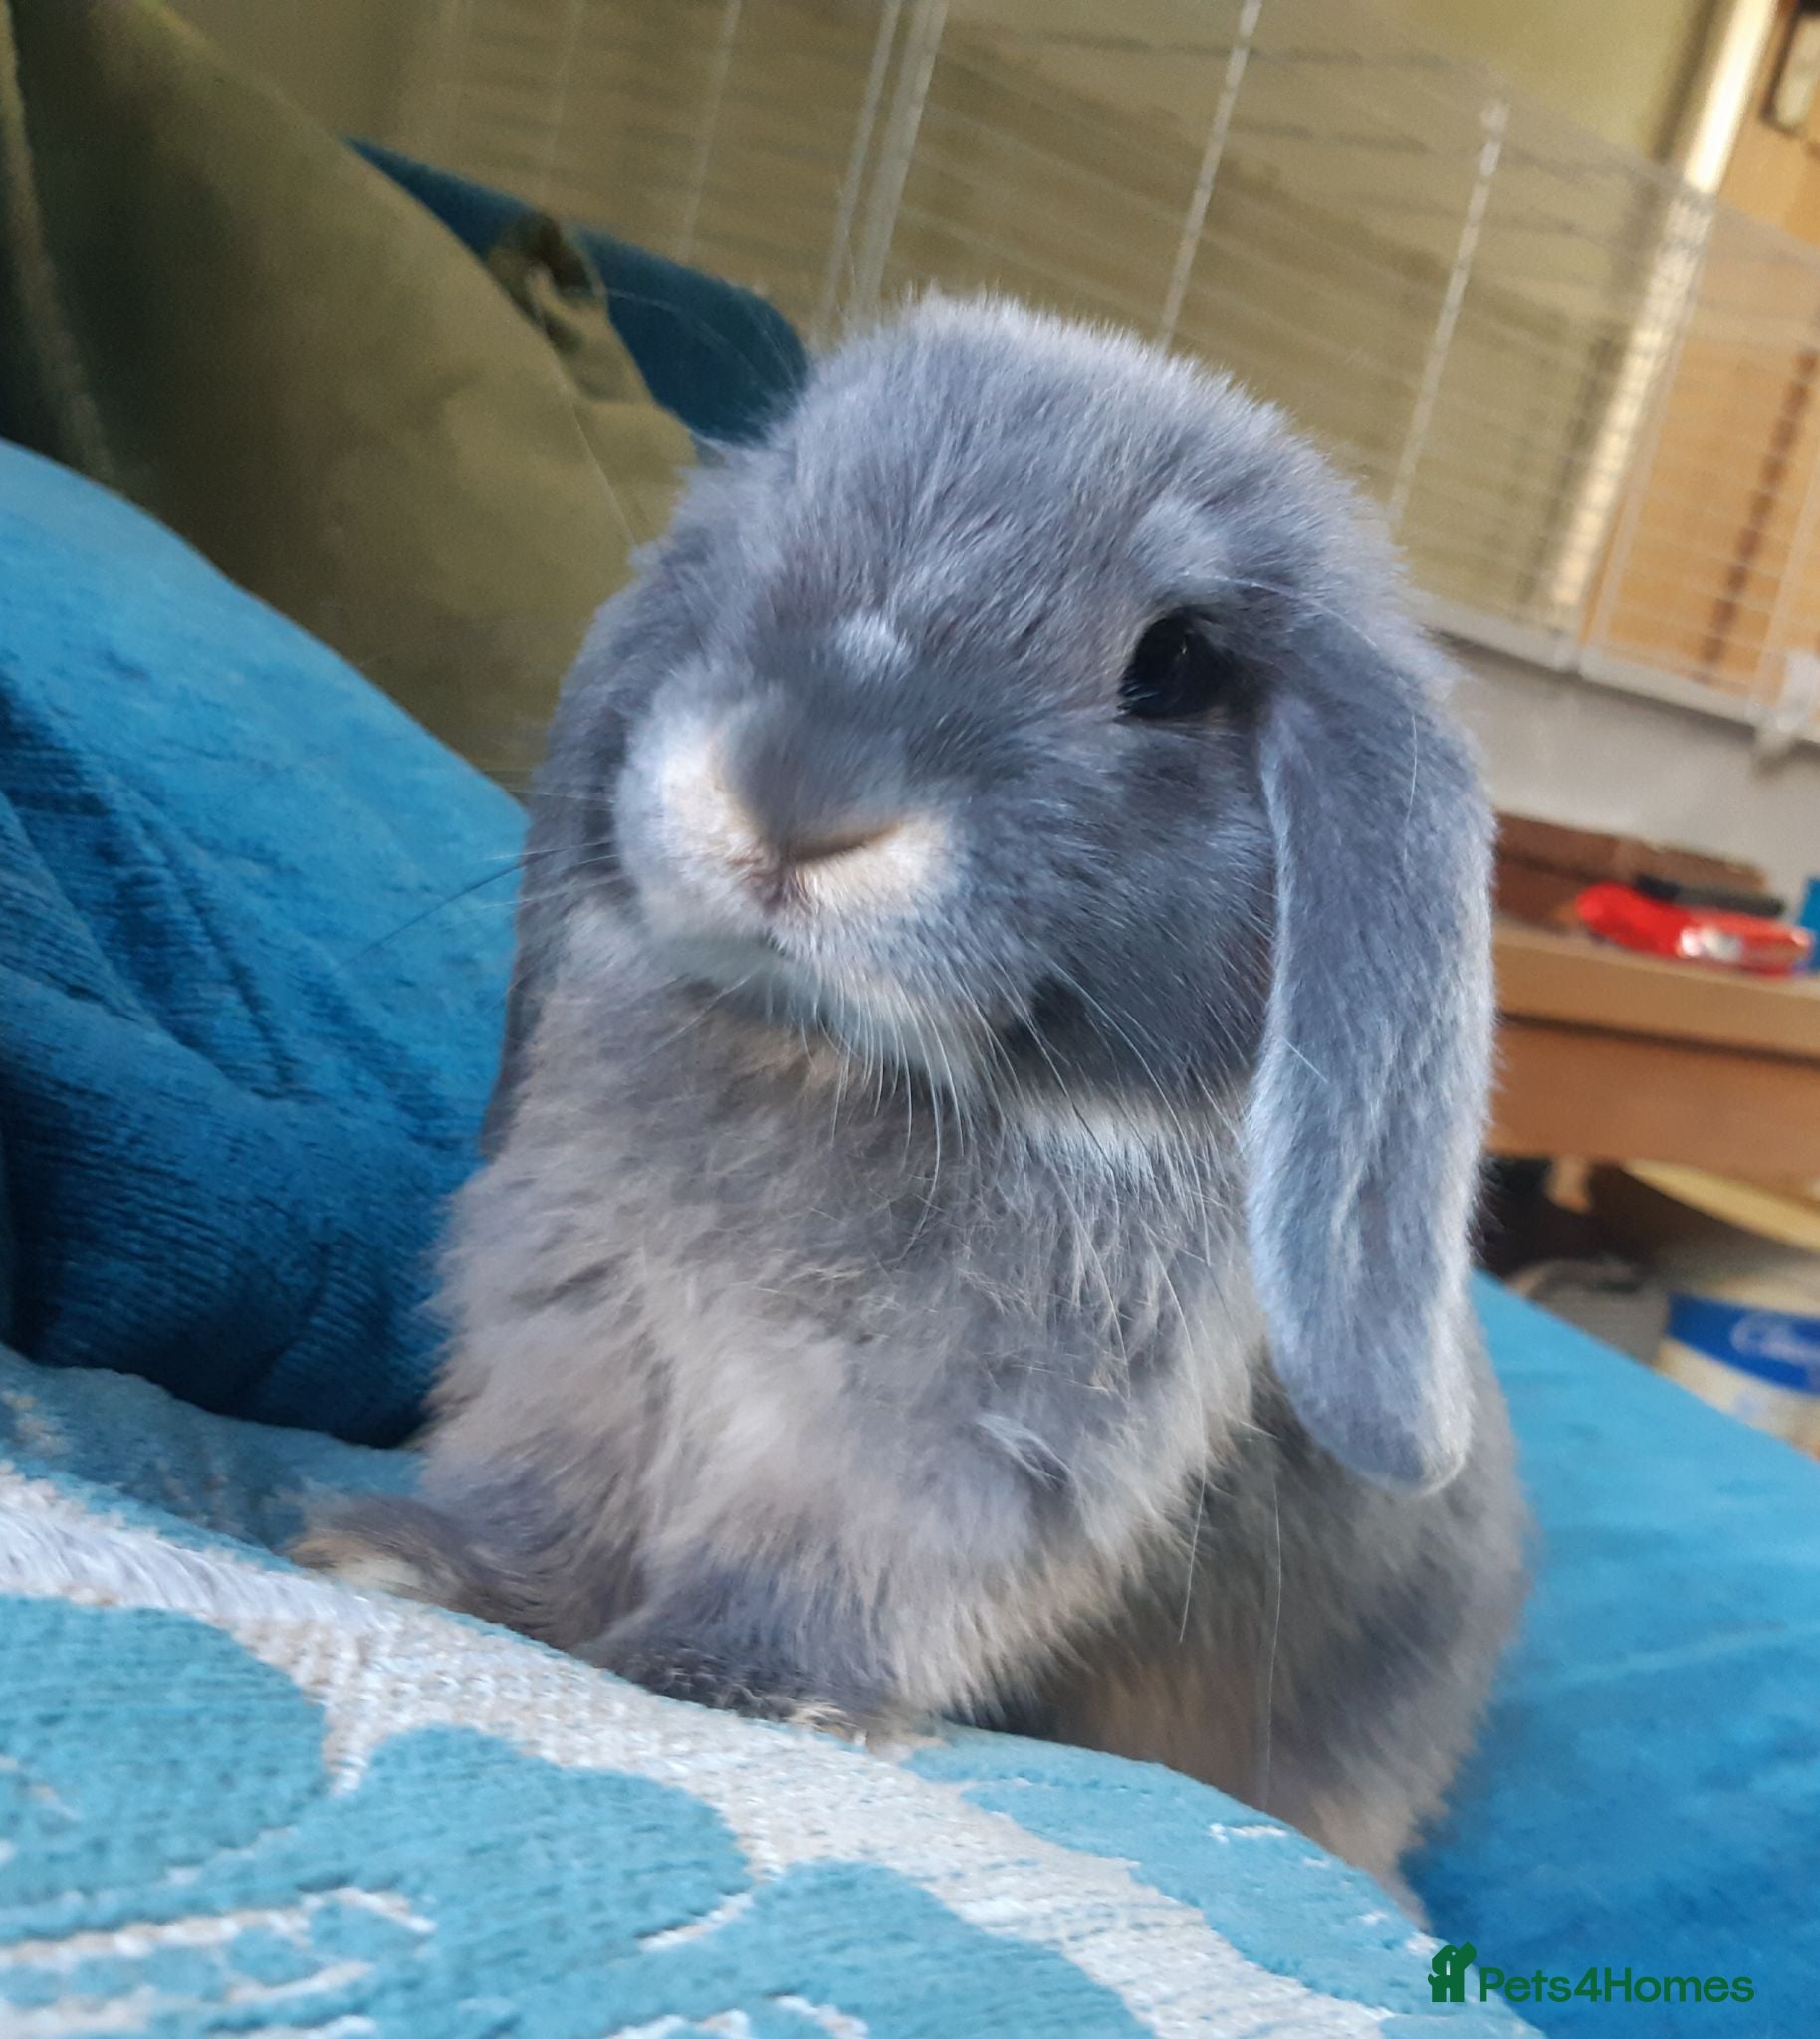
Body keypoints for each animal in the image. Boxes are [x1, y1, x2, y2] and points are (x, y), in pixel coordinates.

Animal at [298, 294, 1527, 1903]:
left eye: (1174, 663)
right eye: (777, 512)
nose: (798, 789)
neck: (835, 1057)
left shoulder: (970, 1431)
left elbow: (842, 1549)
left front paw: (738, 1681)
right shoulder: (586, 1318)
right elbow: (555, 1477)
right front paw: (418, 1560)